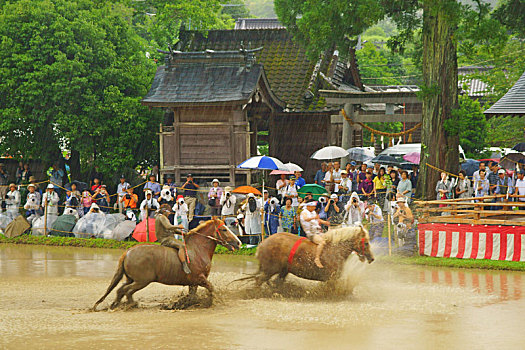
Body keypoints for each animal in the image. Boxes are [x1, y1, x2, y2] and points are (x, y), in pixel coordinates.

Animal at [93, 217, 241, 310]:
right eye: (224, 229)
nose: (238, 242)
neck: (197, 249)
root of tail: (128, 252)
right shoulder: (200, 279)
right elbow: (211, 289)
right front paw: (212, 301)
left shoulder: (193, 283)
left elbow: (193, 296)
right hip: (142, 281)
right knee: (127, 291)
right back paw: (131, 304)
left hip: (131, 279)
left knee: (121, 290)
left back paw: (116, 305)